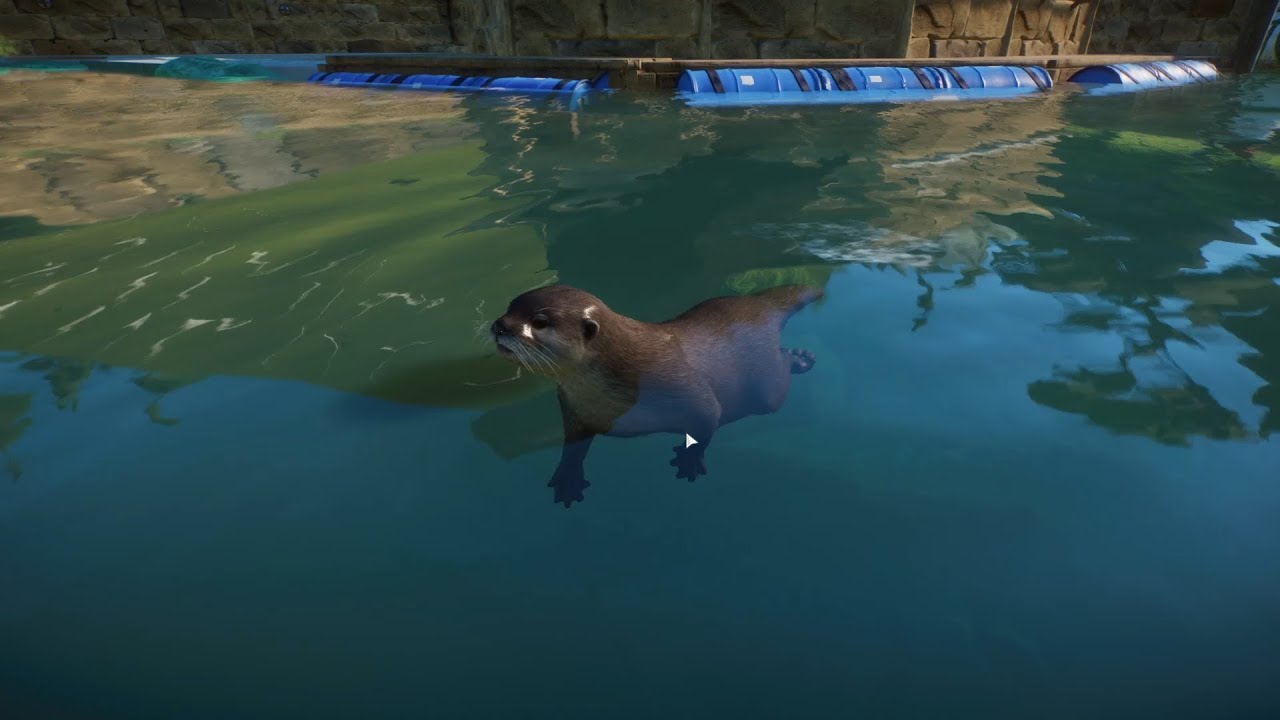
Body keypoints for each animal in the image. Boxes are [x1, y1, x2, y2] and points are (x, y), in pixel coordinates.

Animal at [491, 283, 822, 507]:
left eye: (539, 322)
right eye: (510, 305)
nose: (498, 326)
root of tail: (762, 307)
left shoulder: (681, 385)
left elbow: (707, 419)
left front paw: (689, 461)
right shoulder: (574, 408)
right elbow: (573, 446)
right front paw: (567, 479)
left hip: (767, 386)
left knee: (777, 383)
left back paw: (800, 359)